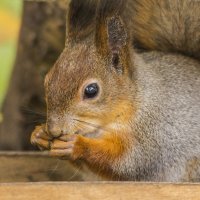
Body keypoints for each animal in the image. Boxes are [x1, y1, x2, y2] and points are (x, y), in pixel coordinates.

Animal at [30, 0, 200, 181]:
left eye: (91, 90)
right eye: (47, 80)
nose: (54, 129)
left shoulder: (152, 134)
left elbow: (125, 161)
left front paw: (77, 145)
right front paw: (39, 134)